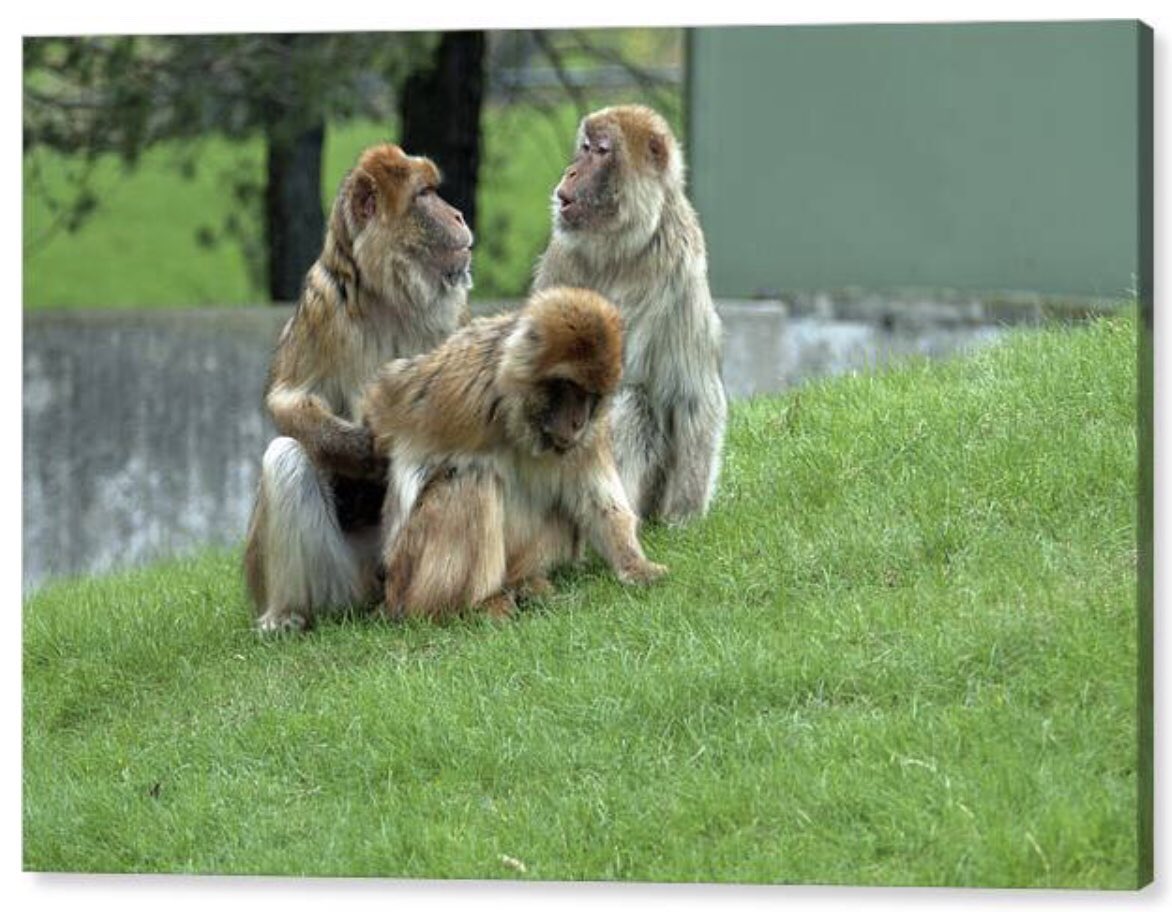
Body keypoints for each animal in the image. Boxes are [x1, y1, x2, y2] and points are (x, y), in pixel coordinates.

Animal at [243, 143, 473, 632]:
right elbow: (288, 399)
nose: (459, 214)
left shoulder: (454, 315)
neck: (389, 295)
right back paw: (287, 615)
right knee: (287, 455)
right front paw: (363, 450)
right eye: (426, 195)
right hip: (342, 583)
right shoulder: (323, 302)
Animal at [361, 286, 667, 621]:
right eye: (568, 387)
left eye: (590, 395)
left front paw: (635, 565)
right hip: (410, 573)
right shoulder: (461, 385)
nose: (578, 421)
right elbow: (386, 397)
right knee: (472, 480)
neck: (518, 421)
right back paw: (474, 604)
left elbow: (599, 503)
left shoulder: (592, 432)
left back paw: (526, 584)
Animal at [533, 104, 728, 526]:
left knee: (632, 403)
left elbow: (691, 396)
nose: (571, 172)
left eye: (601, 151)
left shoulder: (680, 270)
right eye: (585, 147)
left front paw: (684, 517)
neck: (618, 250)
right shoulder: (560, 260)